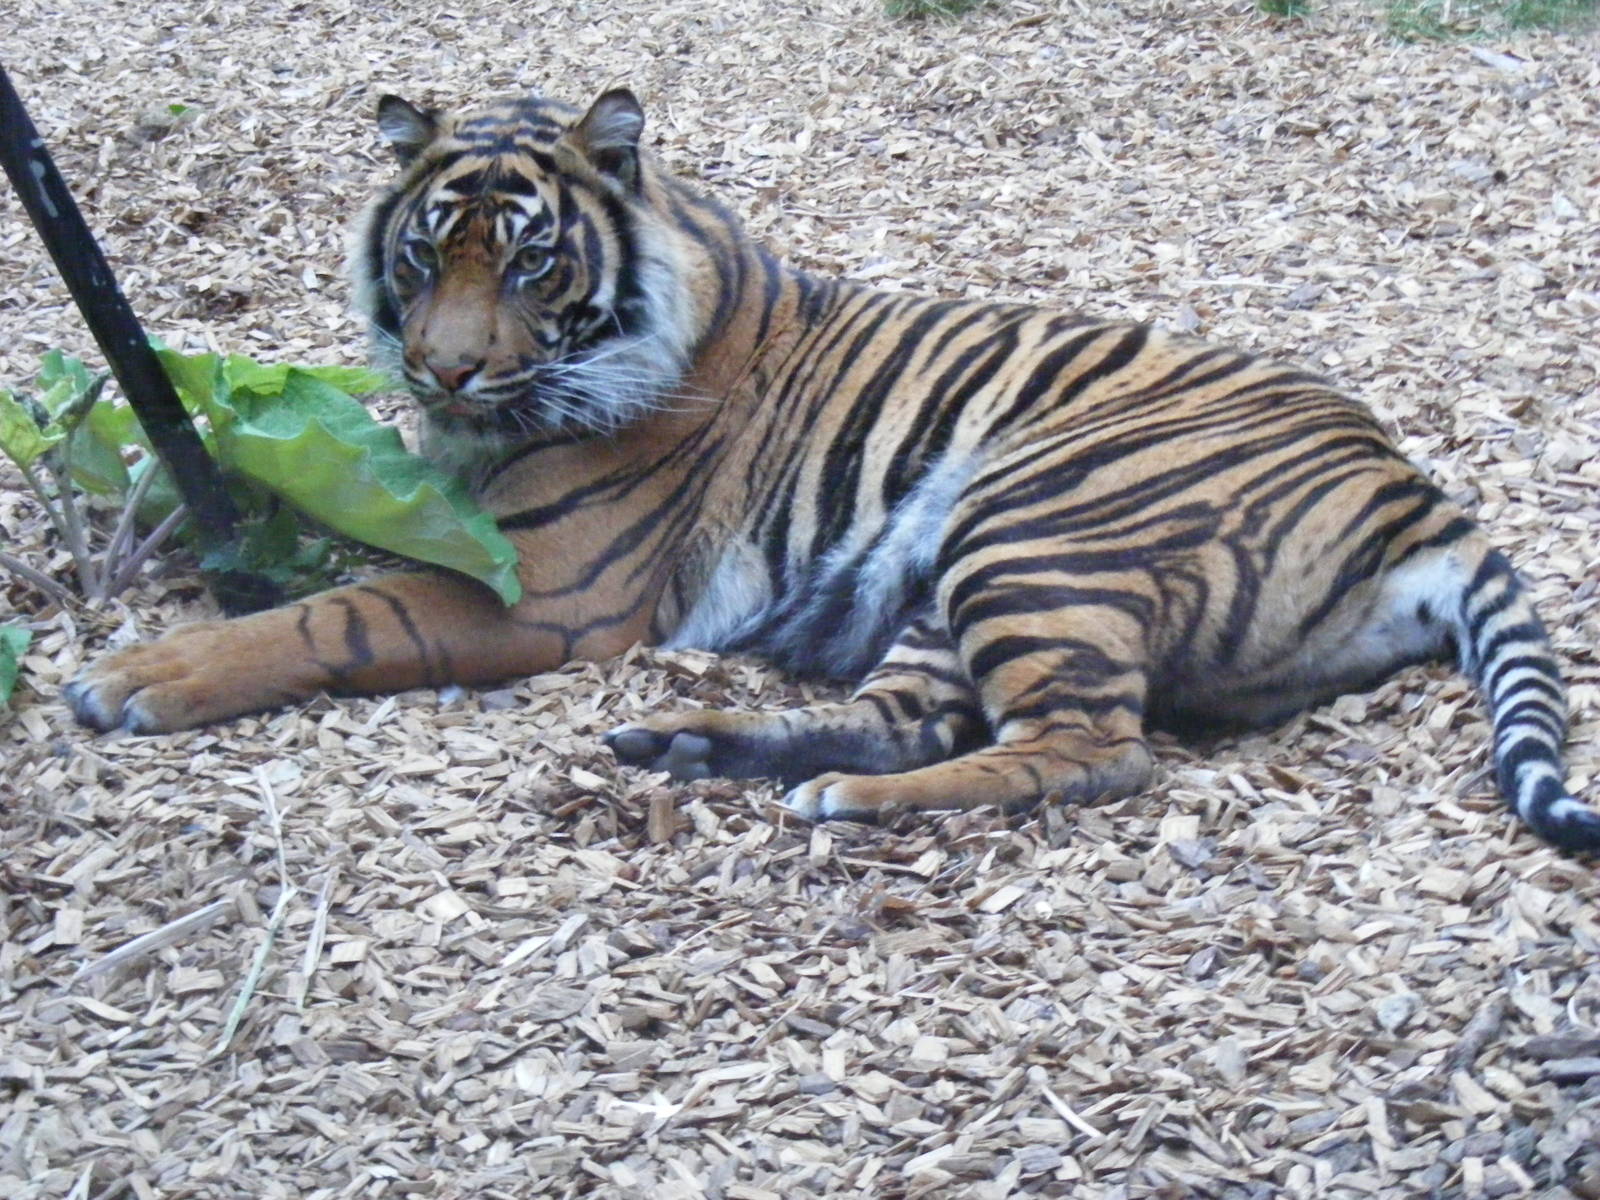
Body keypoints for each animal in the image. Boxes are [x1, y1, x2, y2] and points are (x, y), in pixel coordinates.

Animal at [65, 87, 1599, 853]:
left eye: (531, 263)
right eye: (425, 252)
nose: (440, 372)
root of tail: (1412, 483)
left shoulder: (548, 590)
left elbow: (327, 616)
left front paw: (138, 674)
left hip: (1031, 521)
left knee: (1087, 753)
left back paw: (845, 808)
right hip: (950, 577)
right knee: (916, 719)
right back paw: (693, 747)